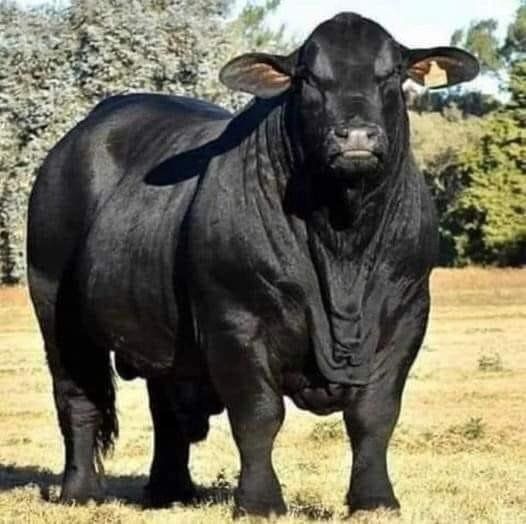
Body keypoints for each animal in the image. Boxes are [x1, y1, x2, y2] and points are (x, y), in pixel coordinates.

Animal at [26, 11, 480, 516]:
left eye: (392, 74)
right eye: (307, 79)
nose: (357, 136)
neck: (342, 240)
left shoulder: (406, 314)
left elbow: (375, 414)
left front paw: (375, 499)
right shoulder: (236, 322)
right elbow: (259, 415)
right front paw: (260, 501)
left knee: (165, 406)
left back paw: (170, 490)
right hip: (57, 310)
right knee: (78, 398)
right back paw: (81, 491)